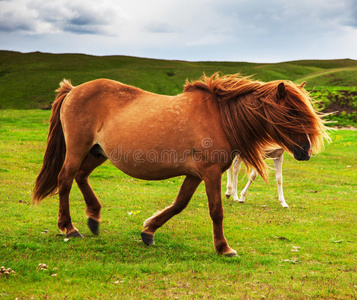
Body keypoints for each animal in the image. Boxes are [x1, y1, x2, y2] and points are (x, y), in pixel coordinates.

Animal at [33, 72, 328, 255]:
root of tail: (73, 90)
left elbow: (179, 204)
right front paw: (224, 248)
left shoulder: (196, 174)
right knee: (65, 180)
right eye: (291, 113)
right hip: (77, 150)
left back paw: (94, 218)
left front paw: (149, 230)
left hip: (97, 153)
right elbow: (216, 211)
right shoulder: (210, 173)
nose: (305, 151)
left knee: (81, 176)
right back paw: (69, 228)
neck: (220, 117)